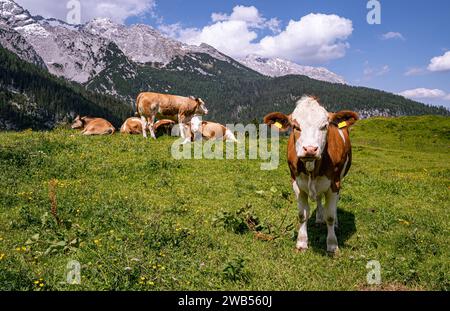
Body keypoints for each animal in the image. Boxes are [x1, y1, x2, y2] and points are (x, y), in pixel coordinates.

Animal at [264, 96, 358, 255]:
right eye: (295, 126)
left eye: (325, 126)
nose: (310, 149)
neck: (312, 168)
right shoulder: (296, 183)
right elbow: (302, 215)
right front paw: (301, 242)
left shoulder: (334, 183)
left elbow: (330, 216)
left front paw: (332, 245)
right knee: (319, 198)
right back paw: (319, 218)